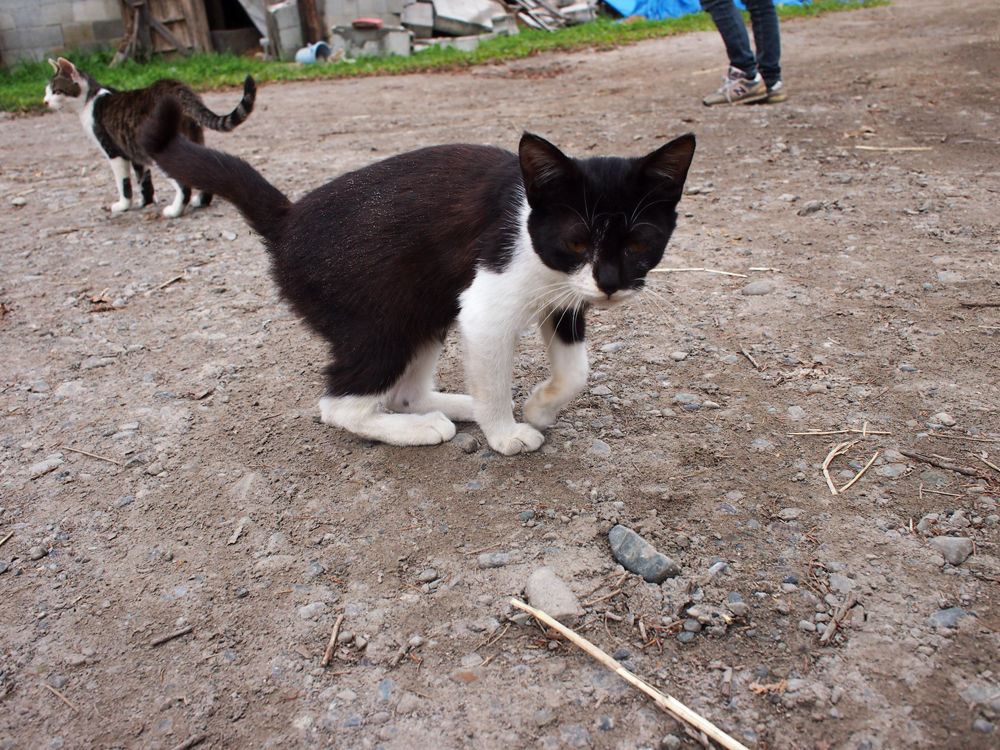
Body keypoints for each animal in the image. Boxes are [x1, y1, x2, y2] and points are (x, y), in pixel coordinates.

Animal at [43, 57, 256, 218]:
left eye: (55, 90)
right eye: (47, 91)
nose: (45, 101)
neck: (91, 99)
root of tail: (175, 86)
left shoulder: (114, 151)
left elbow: (124, 184)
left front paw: (123, 205)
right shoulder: (132, 149)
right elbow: (143, 180)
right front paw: (144, 202)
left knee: (183, 186)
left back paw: (174, 210)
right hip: (193, 136)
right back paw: (201, 201)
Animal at [140, 96, 695, 455]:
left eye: (638, 245)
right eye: (578, 242)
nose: (611, 283)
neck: (528, 226)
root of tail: (288, 218)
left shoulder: (565, 297)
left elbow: (577, 369)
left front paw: (539, 407)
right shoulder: (488, 307)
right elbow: (497, 377)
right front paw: (506, 433)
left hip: (424, 304)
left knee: (403, 390)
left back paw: (452, 405)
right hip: (379, 319)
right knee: (339, 404)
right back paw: (419, 428)